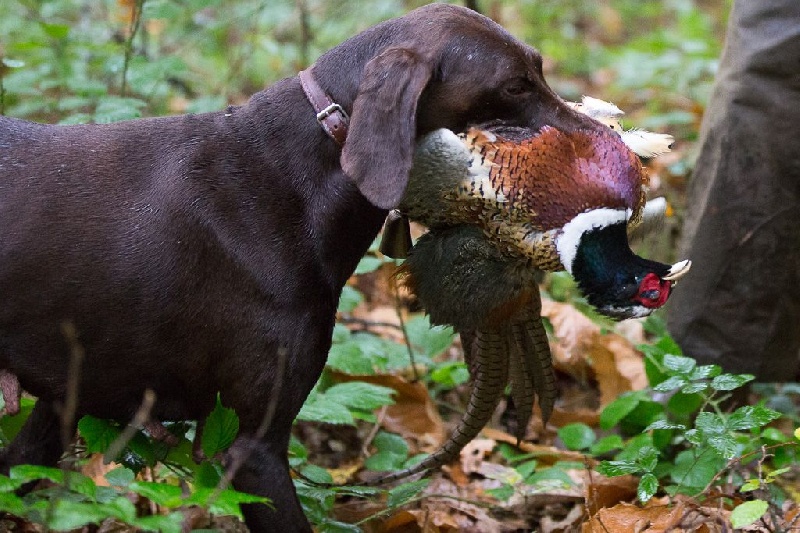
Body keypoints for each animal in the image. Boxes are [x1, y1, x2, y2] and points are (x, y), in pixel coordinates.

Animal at [0, 3, 608, 528]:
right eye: (514, 85)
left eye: (539, 69)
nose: (606, 145)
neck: (295, 174)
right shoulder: (252, 447)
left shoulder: (61, 405)